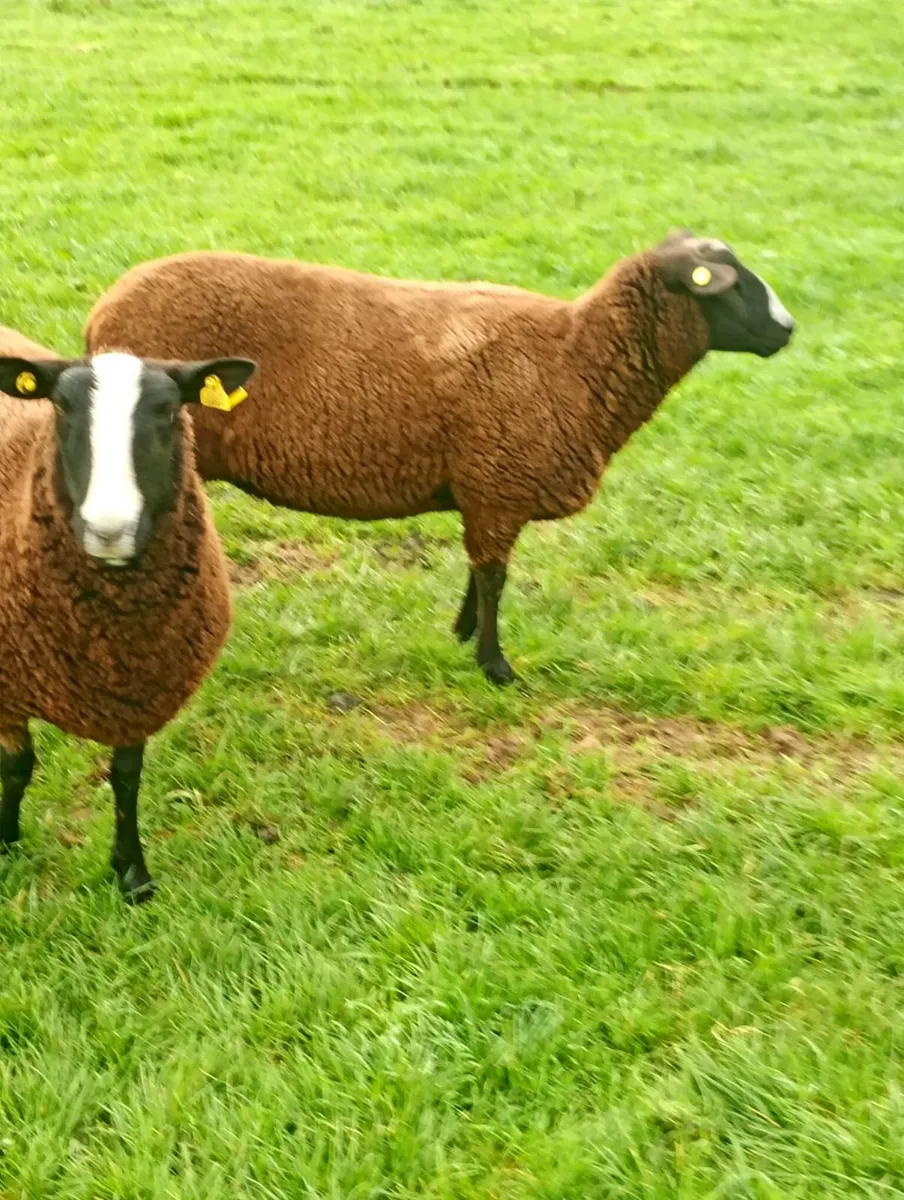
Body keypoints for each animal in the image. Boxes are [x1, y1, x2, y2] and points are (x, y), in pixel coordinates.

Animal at [0, 333, 255, 900]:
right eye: (60, 406)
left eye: (168, 410)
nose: (109, 531)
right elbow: (17, 767)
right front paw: (3, 843)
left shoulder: (139, 685)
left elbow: (126, 776)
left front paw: (132, 875)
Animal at [85, 229, 795, 685]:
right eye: (725, 286)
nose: (787, 329)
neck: (574, 361)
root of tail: (102, 314)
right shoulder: (499, 481)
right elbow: (496, 575)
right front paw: (495, 665)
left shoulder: (486, 487)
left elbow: (482, 570)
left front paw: (463, 632)